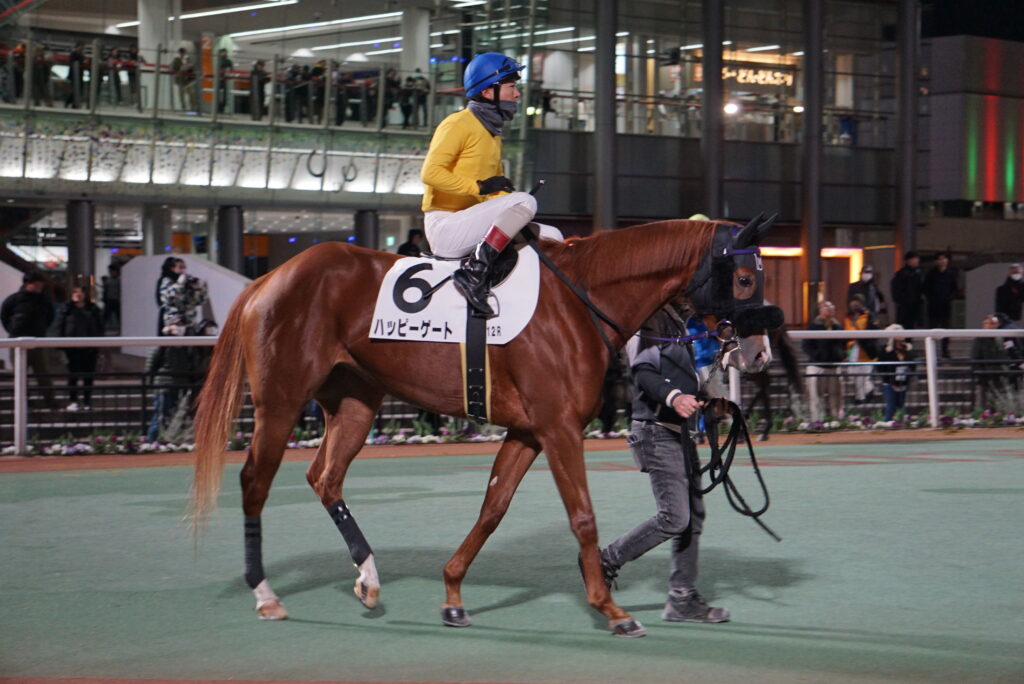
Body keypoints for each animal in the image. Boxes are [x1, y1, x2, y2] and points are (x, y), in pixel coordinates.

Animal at [190, 216, 780, 638]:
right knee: (255, 482)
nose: (759, 353)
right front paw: (609, 607)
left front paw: (453, 594)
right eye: (745, 277)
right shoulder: (559, 428)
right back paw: (266, 594)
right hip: (281, 401)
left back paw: (369, 578)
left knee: (325, 477)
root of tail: (269, 277)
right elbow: (582, 516)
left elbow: (493, 508)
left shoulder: (528, 431)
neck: (580, 300)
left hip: (356, 400)